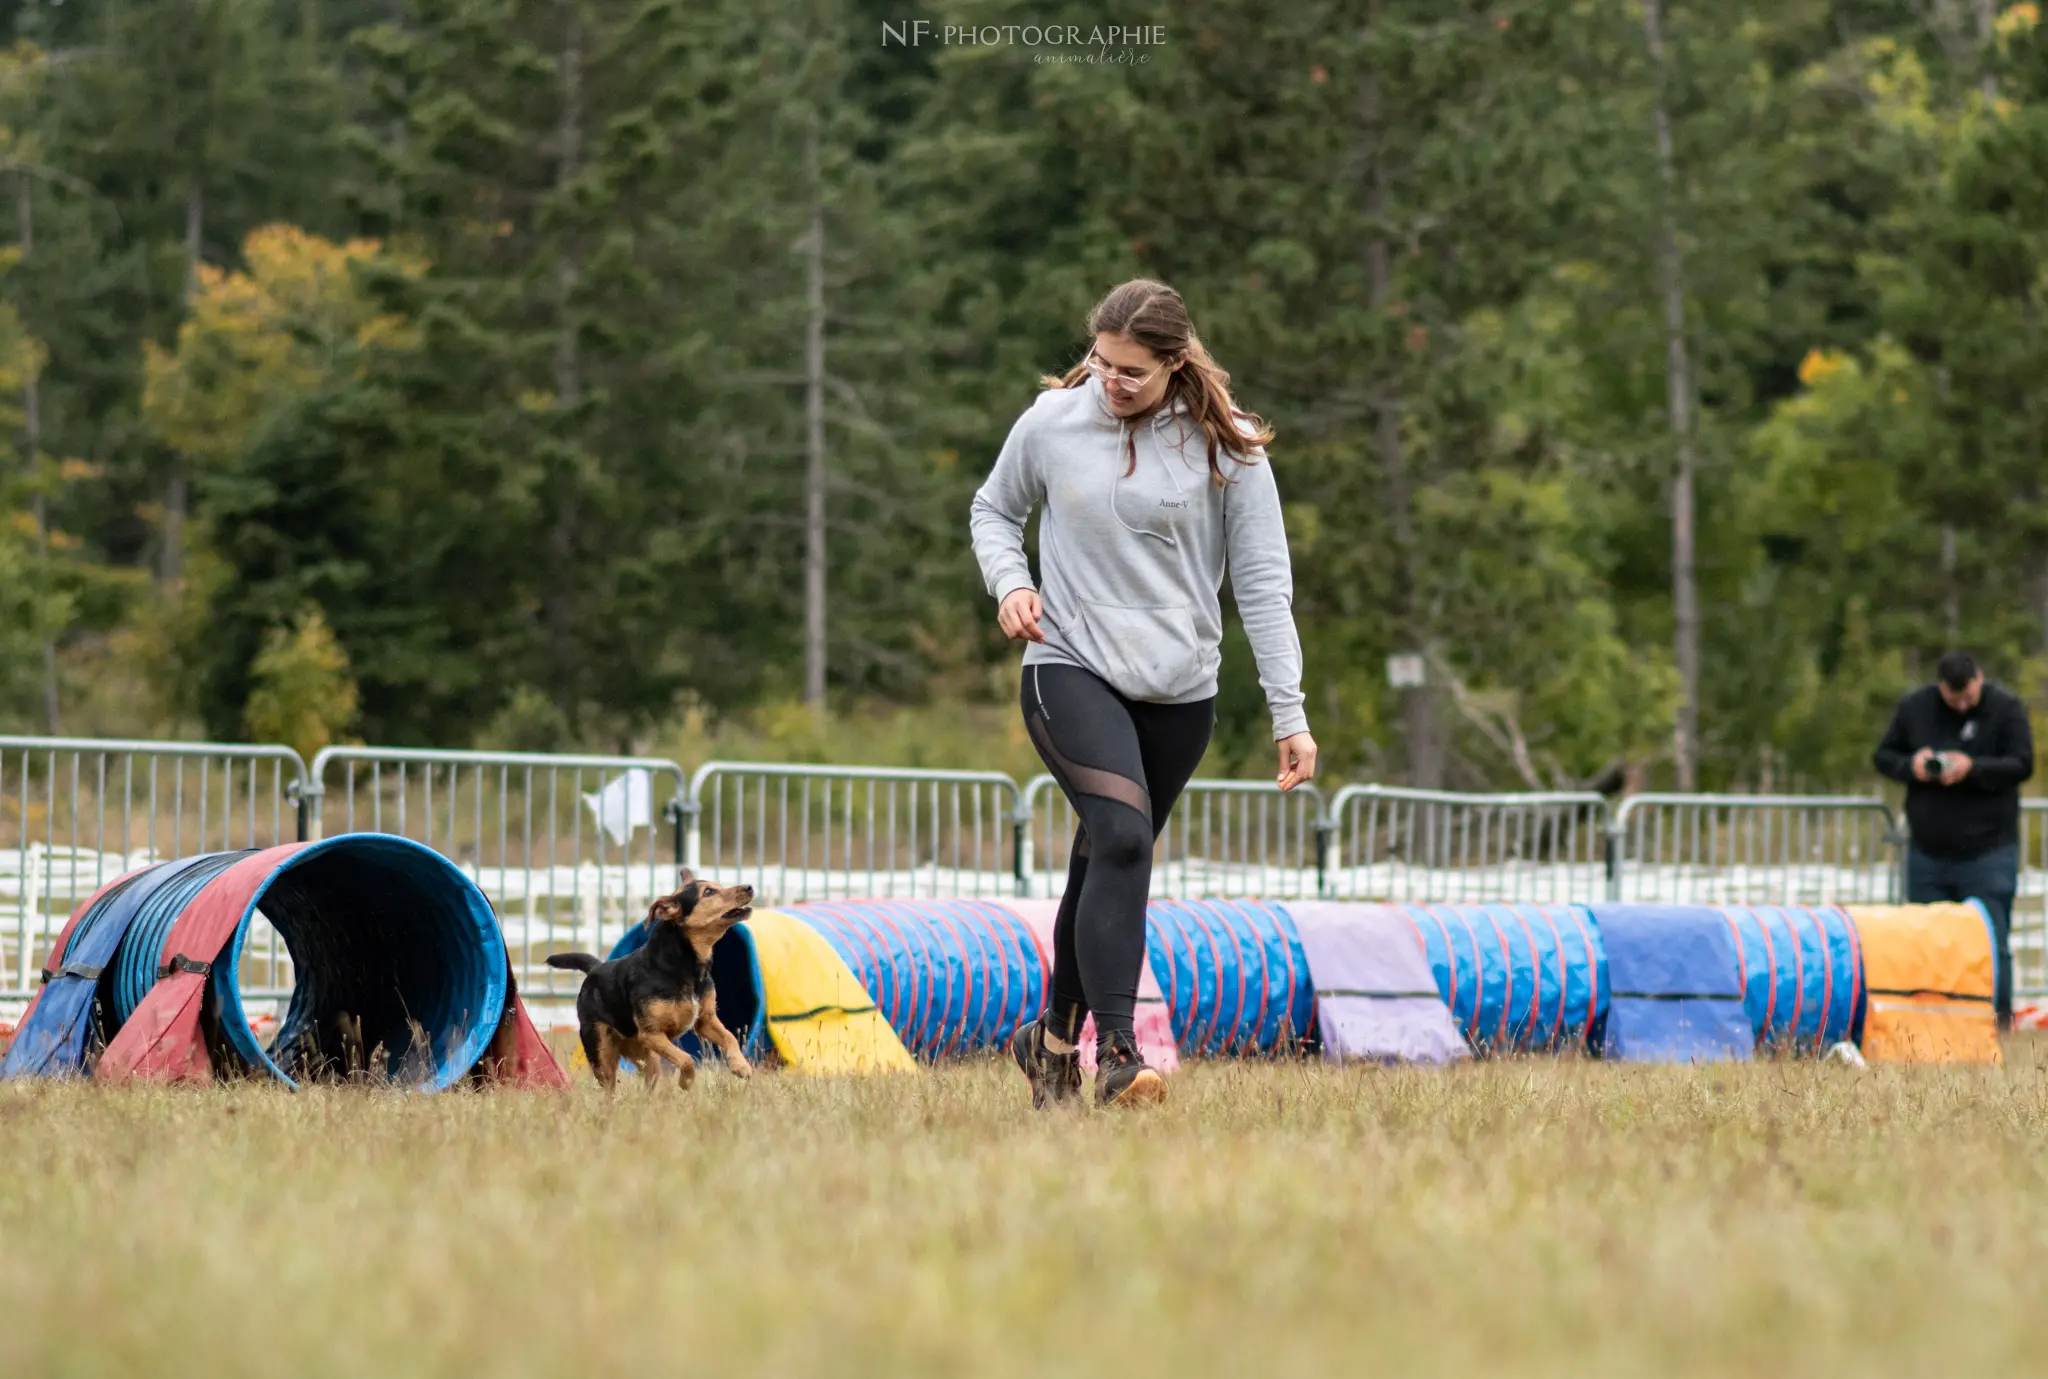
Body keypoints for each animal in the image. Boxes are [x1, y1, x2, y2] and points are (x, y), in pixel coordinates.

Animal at [548, 872, 757, 1090]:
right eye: (708, 892)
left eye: (718, 885)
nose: (749, 887)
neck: (682, 965)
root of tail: (595, 968)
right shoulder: (652, 1034)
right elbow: (686, 1059)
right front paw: (686, 1081)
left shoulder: (705, 1020)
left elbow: (730, 1037)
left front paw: (741, 1066)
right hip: (601, 1052)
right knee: (609, 1087)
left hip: (645, 1057)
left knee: (650, 1081)